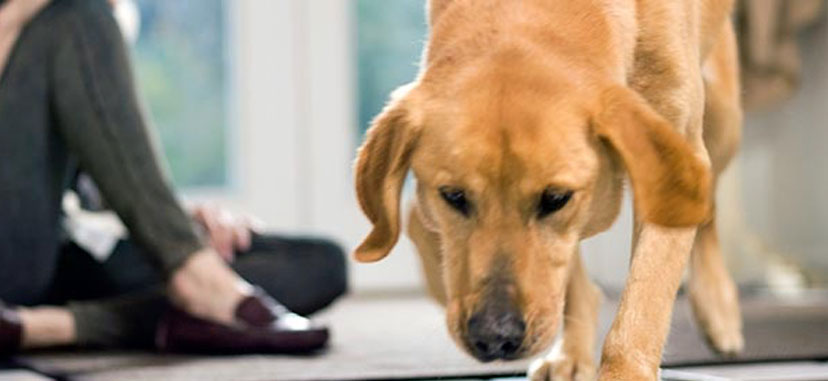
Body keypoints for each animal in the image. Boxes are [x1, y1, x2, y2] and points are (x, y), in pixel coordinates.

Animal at [352, 0, 740, 378]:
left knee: (708, 205)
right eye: (454, 196)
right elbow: (421, 224)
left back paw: (718, 309)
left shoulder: (669, 155)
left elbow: (643, 303)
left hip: (721, 118)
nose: (495, 336)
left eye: (555, 198)